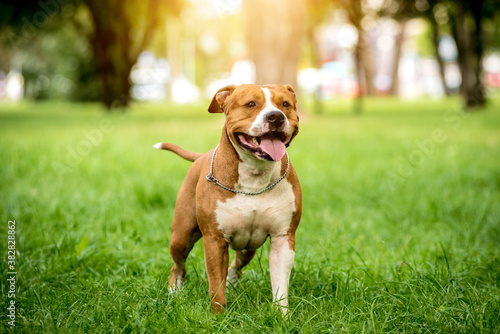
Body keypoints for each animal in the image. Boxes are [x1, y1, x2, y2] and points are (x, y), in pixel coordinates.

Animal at [152, 83, 300, 314]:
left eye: (285, 104)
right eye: (251, 104)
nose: (276, 116)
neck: (254, 176)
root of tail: (201, 156)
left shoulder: (282, 238)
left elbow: (279, 286)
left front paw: (281, 316)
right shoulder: (215, 240)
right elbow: (215, 285)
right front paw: (218, 316)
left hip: (249, 246)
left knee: (236, 265)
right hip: (181, 236)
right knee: (178, 266)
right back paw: (174, 294)